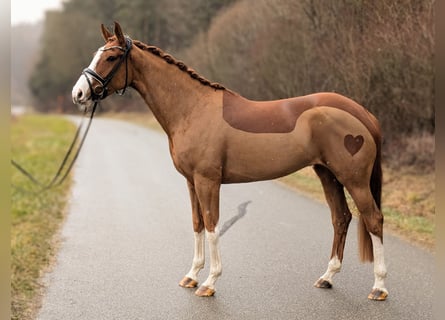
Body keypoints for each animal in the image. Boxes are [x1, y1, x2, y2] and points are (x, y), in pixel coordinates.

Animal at [72, 22, 386, 300]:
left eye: (111, 57)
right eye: (97, 54)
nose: (79, 94)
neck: (192, 109)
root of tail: (363, 114)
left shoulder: (207, 181)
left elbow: (212, 227)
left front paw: (209, 283)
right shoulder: (191, 182)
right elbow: (197, 224)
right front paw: (191, 276)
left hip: (354, 180)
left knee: (373, 219)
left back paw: (379, 288)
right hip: (327, 174)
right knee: (341, 218)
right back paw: (327, 277)